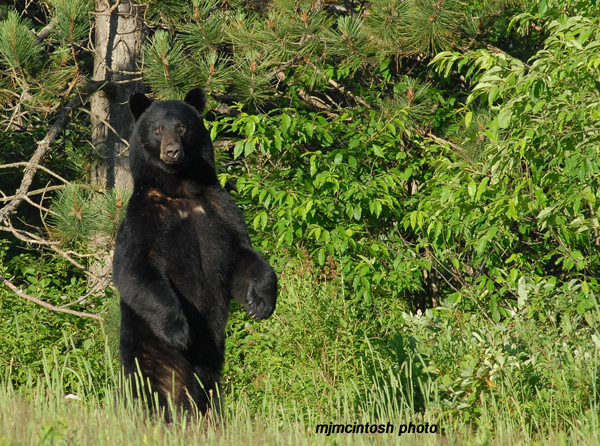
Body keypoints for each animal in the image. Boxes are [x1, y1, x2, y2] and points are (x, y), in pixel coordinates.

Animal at [113, 88, 278, 418]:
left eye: (182, 127)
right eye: (157, 129)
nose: (172, 151)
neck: (180, 190)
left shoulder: (221, 211)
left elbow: (242, 257)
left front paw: (260, 302)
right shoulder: (142, 220)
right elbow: (134, 269)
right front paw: (178, 329)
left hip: (211, 361)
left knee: (207, 391)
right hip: (146, 349)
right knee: (148, 387)